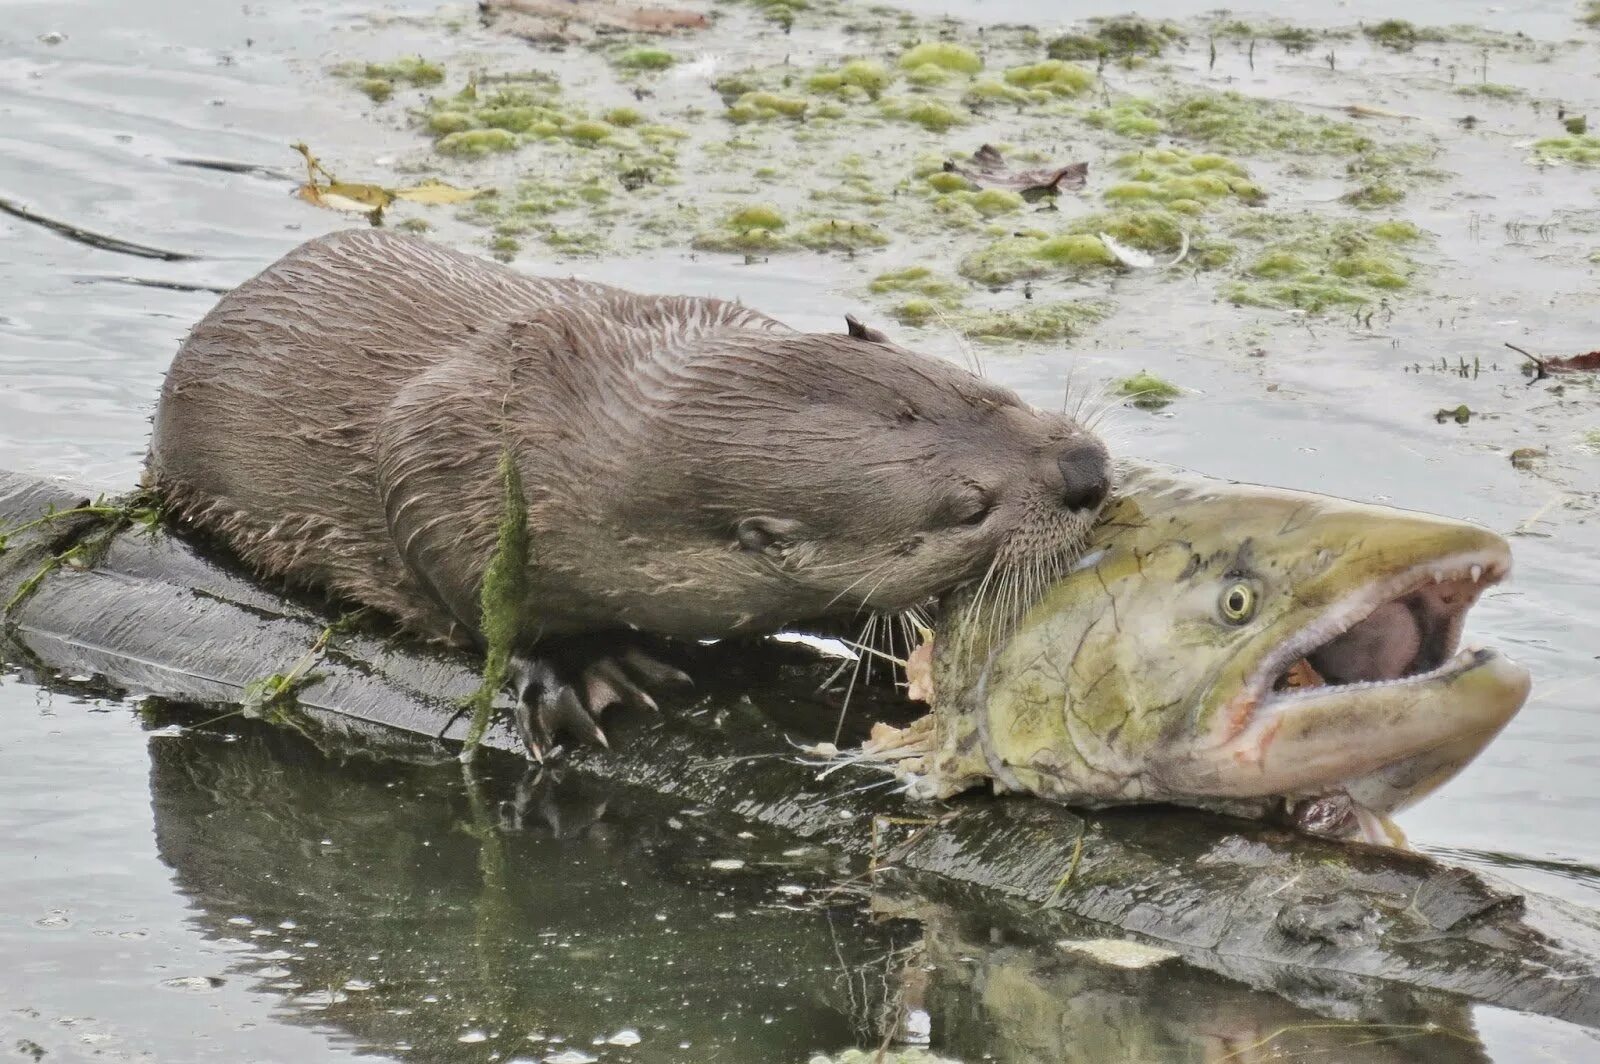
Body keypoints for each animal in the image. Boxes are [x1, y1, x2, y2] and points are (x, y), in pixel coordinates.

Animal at [150, 228, 1113, 752]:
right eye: (968, 508)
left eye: (996, 398)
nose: (1087, 473)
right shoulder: (440, 458)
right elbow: (481, 592)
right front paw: (586, 666)